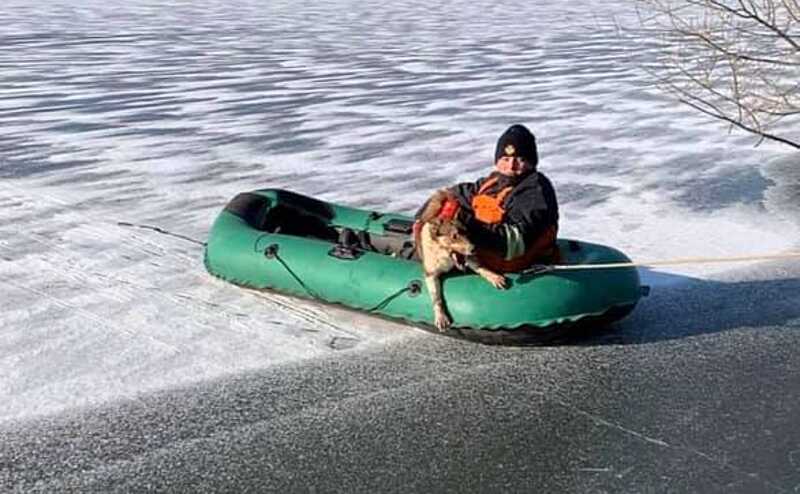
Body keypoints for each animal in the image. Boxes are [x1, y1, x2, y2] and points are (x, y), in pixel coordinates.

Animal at [418, 190, 506, 332]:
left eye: (466, 233)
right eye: (454, 236)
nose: (474, 248)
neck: (444, 255)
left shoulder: (467, 257)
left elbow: (481, 267)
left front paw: (494, 276)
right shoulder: (430, 274)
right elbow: (436, 298)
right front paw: (441, 316)